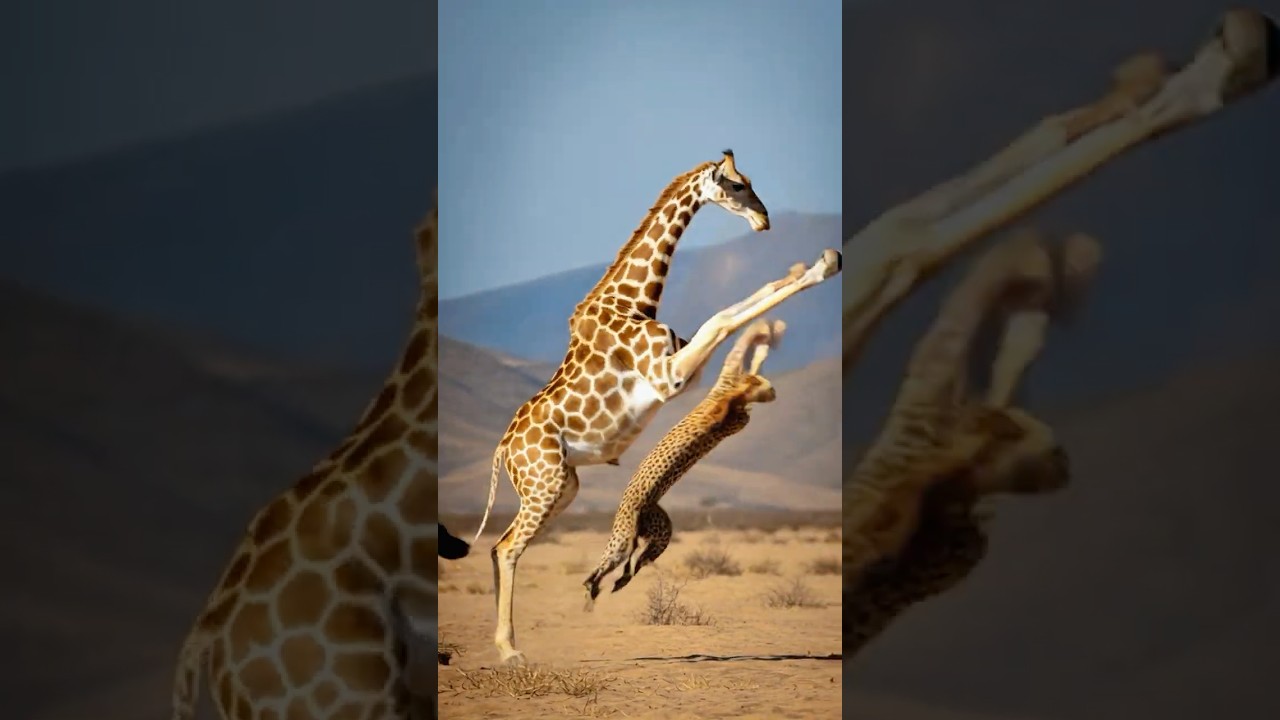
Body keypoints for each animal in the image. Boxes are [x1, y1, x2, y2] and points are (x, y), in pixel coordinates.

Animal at [582, 317, 787, 606]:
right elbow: (732, 392)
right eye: (769, 386)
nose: (775, 391)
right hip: (624, 537)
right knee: (609, 563)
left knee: (636, 562)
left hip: (659, 533)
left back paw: (616, 583)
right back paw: (593, 585)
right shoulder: (726, 403)